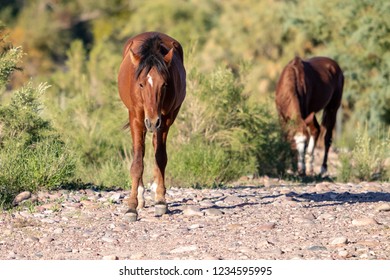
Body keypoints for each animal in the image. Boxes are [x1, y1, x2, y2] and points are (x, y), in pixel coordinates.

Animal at [117, 32, 186, 221]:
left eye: (164, 84)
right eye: (141, 84)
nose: (153, 121)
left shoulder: (166, 119)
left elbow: (160, 157)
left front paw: (161, 200)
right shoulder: (136, 118)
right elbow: (137, 162)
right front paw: (131, 207)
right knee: (140, 152)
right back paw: (140, 197)